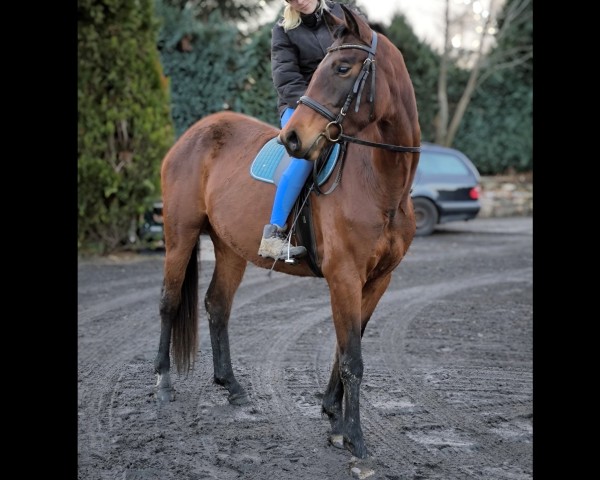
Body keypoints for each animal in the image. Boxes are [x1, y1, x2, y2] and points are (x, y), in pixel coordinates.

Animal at [152, 4, 420, 462]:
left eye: (343, 67)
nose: (292, 138)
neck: (381, 184)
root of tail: (193, 134)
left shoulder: (377, 280)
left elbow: (345, 348)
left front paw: (333, 417)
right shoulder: (344, 277)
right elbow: (352, 357)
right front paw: (355, 438)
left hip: (229, 248)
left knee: (217, 306)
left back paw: (233, 387)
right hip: (179, 234)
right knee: (170, 303)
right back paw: (164, 383)